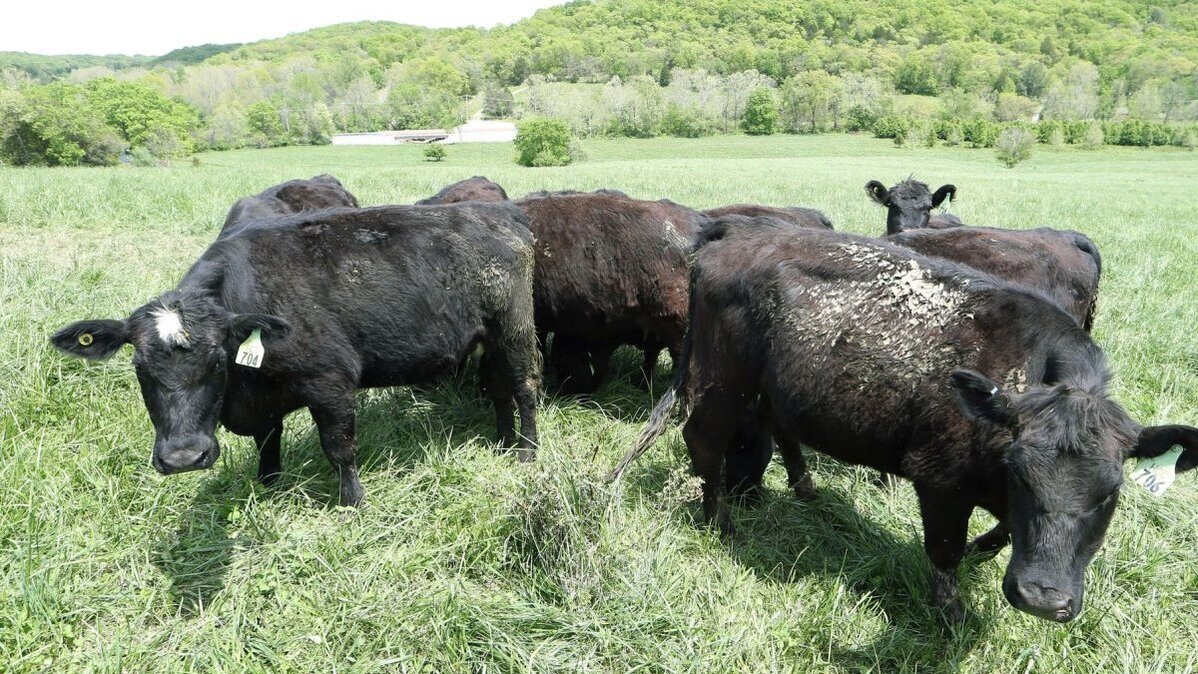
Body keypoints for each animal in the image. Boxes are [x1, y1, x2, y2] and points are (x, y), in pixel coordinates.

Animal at [51, 202, 541, 506]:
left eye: (217, 360)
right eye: (139, 368)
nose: (183, 458)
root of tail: (499, 211)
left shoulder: (331, 381)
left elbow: (339, 448)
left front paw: (352, 503)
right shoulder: (264, 401)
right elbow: (268, 444)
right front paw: (268, 489)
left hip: (516, 326)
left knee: (525, 386)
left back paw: (527, 452)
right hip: (488, 338)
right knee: (498, 389)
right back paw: (502, 441)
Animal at [611, 222, 1198, 623]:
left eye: (1110, 494)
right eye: (1023, 475)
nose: (1041, 598)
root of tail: (724, 241)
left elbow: (1001, 533)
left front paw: (984, 552)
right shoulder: (940, 481)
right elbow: (945, 550)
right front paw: (949, 613)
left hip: (770, 386)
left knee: (775, 428)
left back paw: (804, 488)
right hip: (720, 381)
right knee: (703, 442)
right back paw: (721, 521)